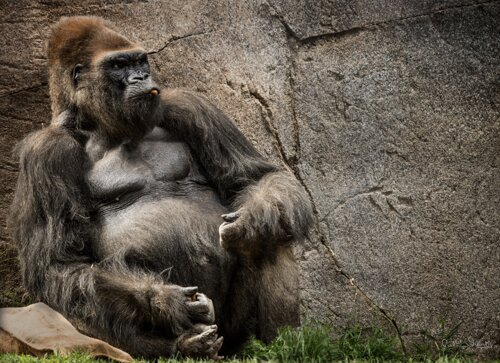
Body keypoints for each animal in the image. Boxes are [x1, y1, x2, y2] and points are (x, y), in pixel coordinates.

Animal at [9, 15, 312, 360]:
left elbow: (253, 178)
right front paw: (164, 300)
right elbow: (59, 264)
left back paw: (281, 345)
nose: (142, 76)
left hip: (233, 335)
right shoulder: (45, 153)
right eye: (118, 65)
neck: (98, 125)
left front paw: (252, 221)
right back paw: (184, 345)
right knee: (73, 297)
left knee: (273, 233)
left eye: (140, 61)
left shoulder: (188, 105)